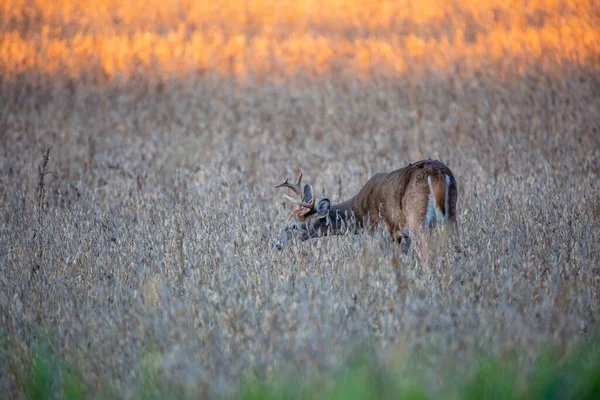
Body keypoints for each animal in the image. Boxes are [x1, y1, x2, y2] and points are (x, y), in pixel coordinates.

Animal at [274, 158, 460, 264]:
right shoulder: (401, 235)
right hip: (451, 214)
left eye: (295, 226)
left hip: (417, 218)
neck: (358, 211)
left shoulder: (381, 232)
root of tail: (437, 174)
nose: (276, 243)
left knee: (426, 252)